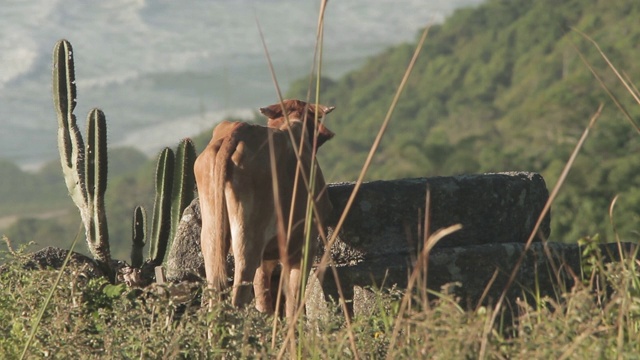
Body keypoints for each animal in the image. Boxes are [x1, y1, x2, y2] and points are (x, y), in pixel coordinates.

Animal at [194, 100, 336, 316]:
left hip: (211, 236)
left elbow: (264, 297)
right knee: (238, 294)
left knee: (216, 291)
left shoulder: (268, 257)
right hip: (248, 240)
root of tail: (239, 130)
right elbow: (293, 300)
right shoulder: (304, 245)